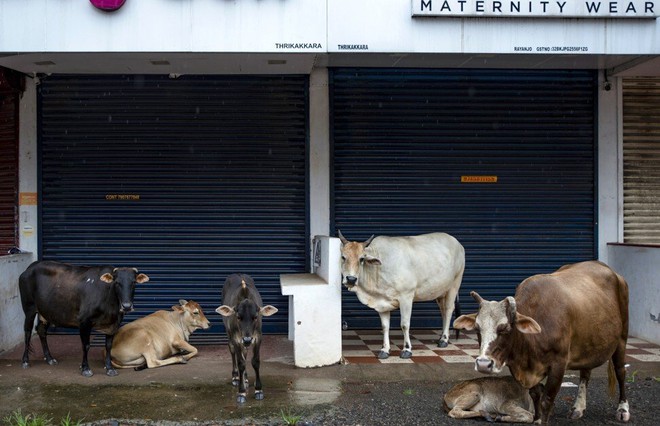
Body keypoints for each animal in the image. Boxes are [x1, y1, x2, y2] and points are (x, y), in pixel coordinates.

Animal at [18, 260, 149, 376]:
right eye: (117, 282)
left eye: (134, 282)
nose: (126, 306)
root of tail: (31, 267)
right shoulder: (84, 322)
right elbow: (86, 345)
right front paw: (85, 369)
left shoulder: (113, 324)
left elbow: (108, 346)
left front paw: (109, 368)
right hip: (29, 308)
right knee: (28, 332)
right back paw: (25, 361)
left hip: (45, 312)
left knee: (41, 331)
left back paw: (50, 358)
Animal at [215, 274, 278, 404]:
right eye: (238, 317)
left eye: (255, 317)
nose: (247, 339)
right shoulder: (237, 338)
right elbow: (241, 363)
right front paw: (241, 392)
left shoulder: (257, 337)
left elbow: (255, 361)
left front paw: (258, 390)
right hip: (229, 333)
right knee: (232, 351)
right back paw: (235, 377)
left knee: (245, 352)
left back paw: (246, 378)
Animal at [454, 262, 628, 424]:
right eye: (477, 328)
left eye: (506, 329)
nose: (483, 364)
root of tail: (610, 270)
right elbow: (535, 395)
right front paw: (536, 419)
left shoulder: (558, 365)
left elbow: (546, 400)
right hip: (589, 345)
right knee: (585, 373)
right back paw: (578, 408)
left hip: (621, 340)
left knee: (620, 371)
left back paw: (623, 410)